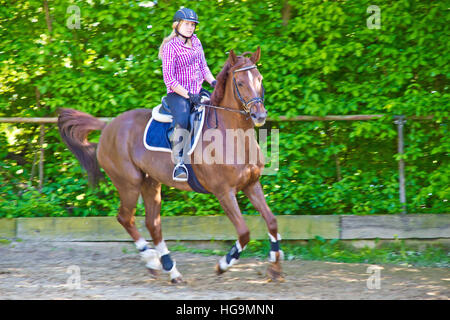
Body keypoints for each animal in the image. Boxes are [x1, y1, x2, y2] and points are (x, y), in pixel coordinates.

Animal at [58, 47, 284, 282]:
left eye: (259, 78)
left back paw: (169, 268)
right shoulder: (224, 191)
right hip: (129, 183)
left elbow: (272, 222)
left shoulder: (251, 184)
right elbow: (244, 232)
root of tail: (108, 127)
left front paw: (275, 267)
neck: (234, 137)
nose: (260, 115)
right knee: (126, 218)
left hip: (150, 183)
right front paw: (223, 265)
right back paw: (152, 260)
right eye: (239, 83)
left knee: (153, 224)